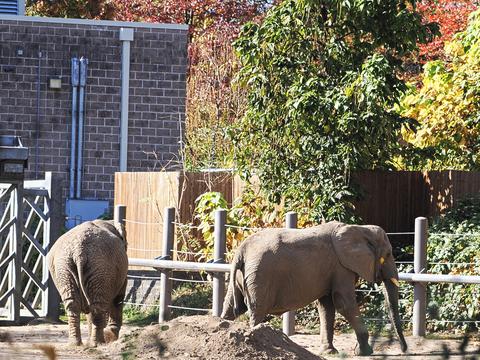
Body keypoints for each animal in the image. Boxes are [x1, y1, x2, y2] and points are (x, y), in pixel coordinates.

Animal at [222, 221, 408, 356]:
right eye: (388, 255)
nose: (405, 350)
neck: (360, 229)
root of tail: (241, 250)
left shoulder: (332, 270)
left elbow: (326, 306)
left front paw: (330, 352)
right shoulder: (341, 267)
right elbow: (343, 303)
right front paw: (364, 352)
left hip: (244, 277)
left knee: (231, 307)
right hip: (260, 276)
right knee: (257, 311)